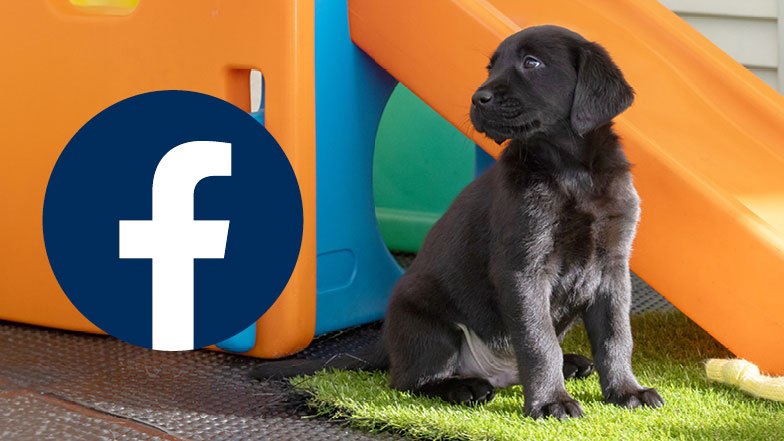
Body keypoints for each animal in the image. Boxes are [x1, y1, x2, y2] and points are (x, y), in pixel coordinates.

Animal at [251, 24, 660, 420]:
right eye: (491, 67)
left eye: (532, 63)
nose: (478, 98)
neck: (572, 171)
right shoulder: (524, 269)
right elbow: (539, 342)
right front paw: (550, 402)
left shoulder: (612, 268)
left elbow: (615, 337)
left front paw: (627, 391)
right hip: (428, 324)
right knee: (408, 381)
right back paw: (465, 387)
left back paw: (571, 363)